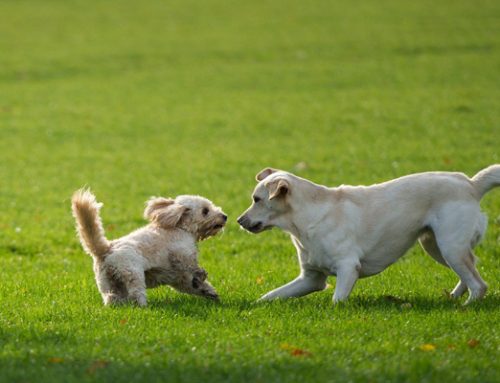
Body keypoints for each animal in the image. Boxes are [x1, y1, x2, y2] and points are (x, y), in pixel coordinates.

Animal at [71, 190, 227, 308]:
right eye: (205, 211)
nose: (224, 216)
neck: (180, 228)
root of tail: (106, 249)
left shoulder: (179, 278)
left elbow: (192, 284)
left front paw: (209, 292)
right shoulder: (182, 253)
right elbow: (193, 266)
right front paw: (201, 275)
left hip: (107, 282)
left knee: (112, 297)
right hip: (133, 274)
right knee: (136, 295)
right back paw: (143, 307)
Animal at [238, 165, 500, 306]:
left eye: (257, 199)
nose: (239, 220)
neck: (305, 221)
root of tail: (471, 184)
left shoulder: (348, 268)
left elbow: (336, 301)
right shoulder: (310, 279)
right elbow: (270, 295)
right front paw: (252, 307)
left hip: (450, 247)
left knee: (479, 284)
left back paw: (465, 307)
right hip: (435, 246)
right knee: (469, 274)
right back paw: (453, 298)